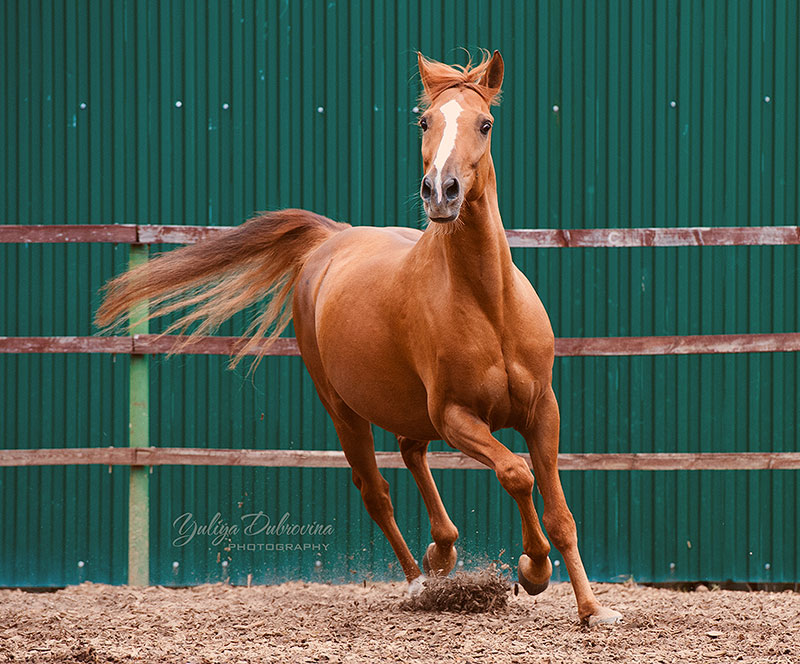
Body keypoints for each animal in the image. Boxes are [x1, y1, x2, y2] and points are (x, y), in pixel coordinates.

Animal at [98, 50, 620, 624]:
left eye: (485, 124)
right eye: (424, 122)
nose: (441, 192)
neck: (489, 304)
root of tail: (333, 237)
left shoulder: (542, 410)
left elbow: (560, 514)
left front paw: (593, 609)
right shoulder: (457, 417)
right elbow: (516, 475)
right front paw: (533, 570)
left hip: (408, 406)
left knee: (411, 452)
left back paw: (442, 550)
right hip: (343, 408)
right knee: (377, 491)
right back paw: (420, 580)